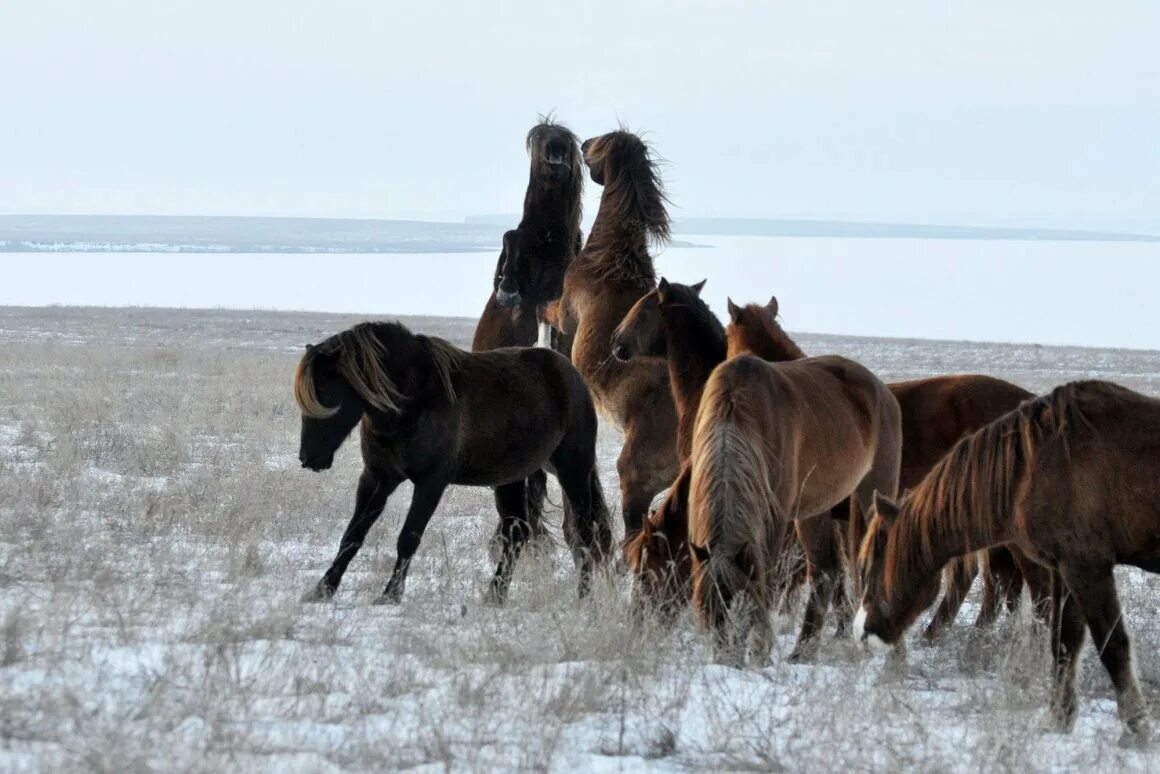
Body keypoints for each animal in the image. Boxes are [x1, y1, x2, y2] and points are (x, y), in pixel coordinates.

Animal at [294, 320, 612, 603]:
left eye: (324, 392)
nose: (308, 459)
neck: (411, 401)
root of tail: (571, 374)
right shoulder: (376, 478)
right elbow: (352, 536)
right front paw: (322, 590)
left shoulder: (431, 483)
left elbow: (408, 538)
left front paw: (390, 596)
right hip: (509, 479)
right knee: (517, 533)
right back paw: (495, 596)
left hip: (573, 469)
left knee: (585, 534)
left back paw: (584, 597)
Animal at [552, 128, 677, 538]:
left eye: (597, 144)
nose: (582, 143)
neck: (610, 259)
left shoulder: (565, 313)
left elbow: (547, 307)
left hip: (633, 478)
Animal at [853, 380, 1160, 742]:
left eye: (871, 564)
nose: (863, 630)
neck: (1035, 466)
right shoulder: (1065, 570)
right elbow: (1063, 645)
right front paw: (1059, 722)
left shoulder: (1087, 567)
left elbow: (1113, 648)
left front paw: (1136, 731)